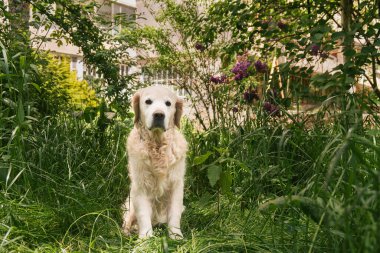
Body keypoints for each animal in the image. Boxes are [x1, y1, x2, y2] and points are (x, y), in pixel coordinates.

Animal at [121, 85, 187, 239]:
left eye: (168, 103)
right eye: (148, 101)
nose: (158, 115)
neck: (157, 146)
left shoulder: (176, 184)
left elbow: (174, 214)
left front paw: (176, 236)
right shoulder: (140, 186)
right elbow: (143, 215)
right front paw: (145, 238)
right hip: (129, 204)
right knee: (128, 220)